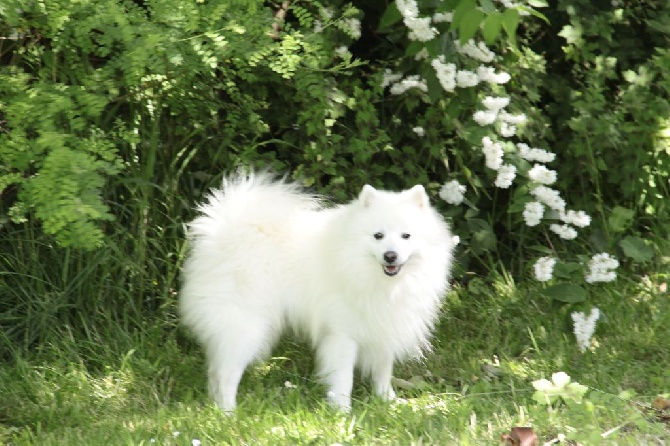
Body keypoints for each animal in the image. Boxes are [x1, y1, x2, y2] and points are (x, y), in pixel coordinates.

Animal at [180, 172, 456, 412]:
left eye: (406, 236)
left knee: (215, 372)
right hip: (245, 326)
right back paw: (228, 413)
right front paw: (343, 411)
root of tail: (221, 234)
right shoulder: (342, 334)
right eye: (378, 236)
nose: (390, 255)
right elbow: (344, 377)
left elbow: (382, 370)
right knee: (225, 373)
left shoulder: (384, 324)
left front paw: (387, 401)